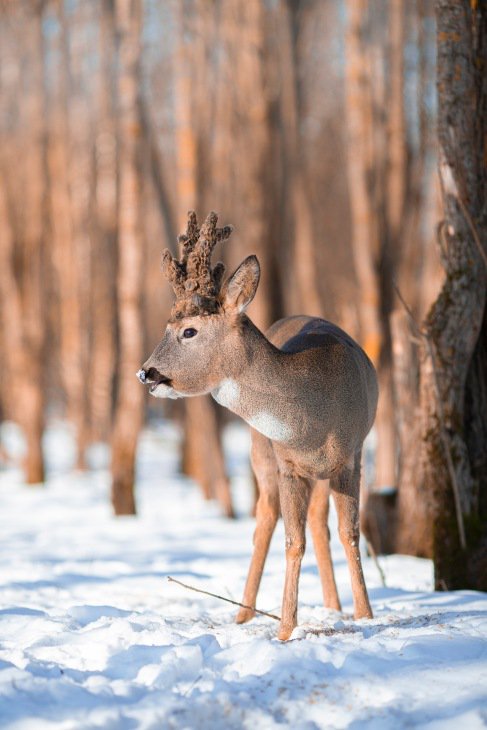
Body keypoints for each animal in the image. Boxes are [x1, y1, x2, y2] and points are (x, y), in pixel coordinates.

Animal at [137, 210, 378, 636]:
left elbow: (350, 533)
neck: (316, 418)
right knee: (264, 519)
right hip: (259, 451)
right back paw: (243, 613)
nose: (146, 372)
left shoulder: (352, 455)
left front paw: (366, 615)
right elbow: (292, 541)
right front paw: (285, 629)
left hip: (319, 471)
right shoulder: (286, 463)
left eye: (188, 330)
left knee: (319, 523)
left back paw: (333, 606)